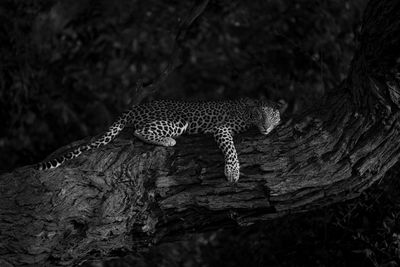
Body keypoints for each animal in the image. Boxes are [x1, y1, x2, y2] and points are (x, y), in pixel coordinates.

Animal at [36, 97, 282, 183]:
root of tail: (135, 107)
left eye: (272, 116)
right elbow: (231, 149)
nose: (265, 127)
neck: (248, 112)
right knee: (139, 131)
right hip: (177, 120)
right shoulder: (221, 128)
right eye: (260, 115)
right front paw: (232, 172)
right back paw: (168, 141)